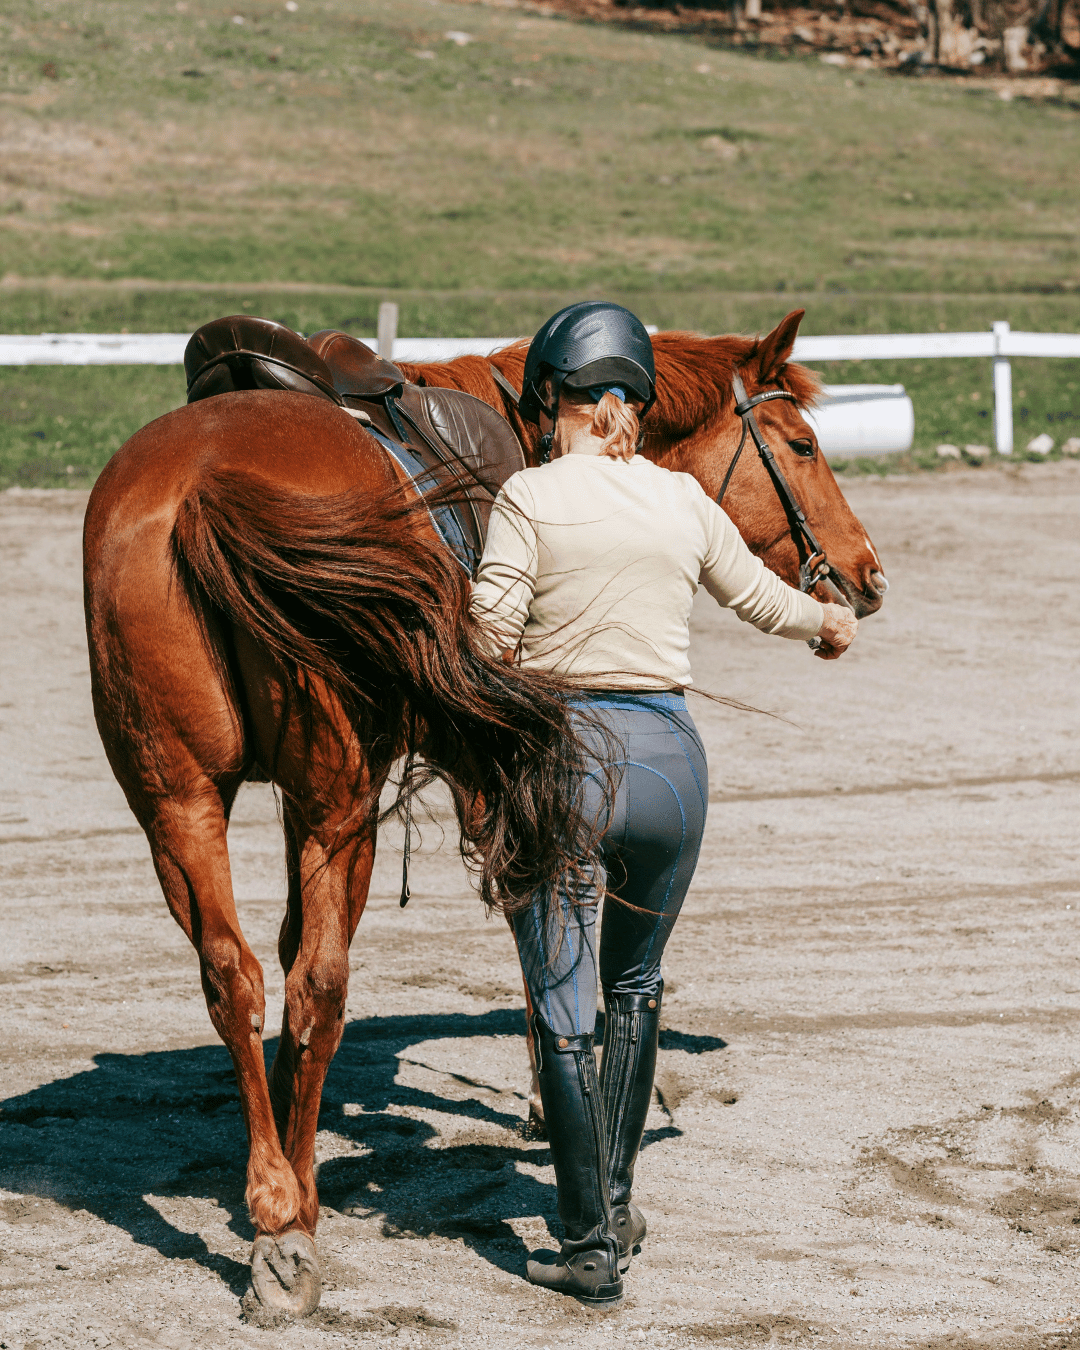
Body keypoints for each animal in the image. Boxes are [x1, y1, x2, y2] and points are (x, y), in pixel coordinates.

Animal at [81, 308, 886, 1318]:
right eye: (804, 445)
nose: (866, 575)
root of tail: (201, 483)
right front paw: (553, 1110)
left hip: (177, 801)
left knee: (237, 977)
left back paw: (274, 1192)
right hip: (340, 802)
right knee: (318, 986)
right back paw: (291, 1229)